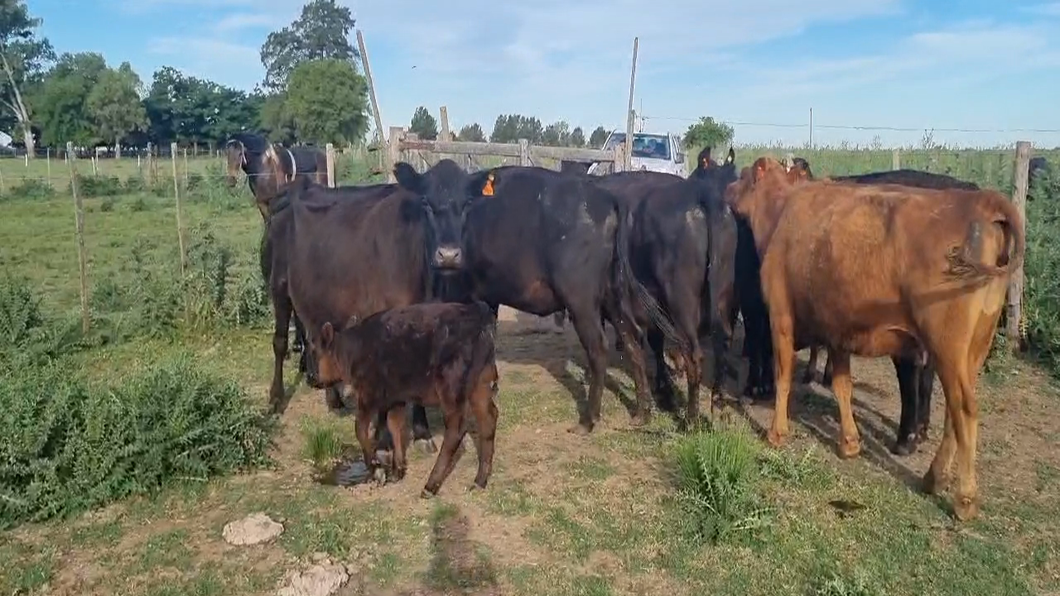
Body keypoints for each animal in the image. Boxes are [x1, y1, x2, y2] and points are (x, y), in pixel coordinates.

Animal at [307, 299, 500, 494]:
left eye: (315, 352)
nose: (312, 378)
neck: (354, 350)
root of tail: (478, 316)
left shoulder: (369, 396)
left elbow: (360, 429)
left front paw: (376, 468)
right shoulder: (395, 398)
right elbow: (395, 426)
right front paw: (397, 470)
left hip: (451, 390)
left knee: (456, 429)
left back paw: (430, 485)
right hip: (480, 387)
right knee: (488, 419)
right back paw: (480, 480)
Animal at [725, 155, 1021, 517]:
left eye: (742, 175)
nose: (726, 189)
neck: (783, 212)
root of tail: (980, 200)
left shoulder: (781, 318)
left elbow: (783, 376)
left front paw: (777, 433)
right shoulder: (836, 330)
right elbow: (842, 386)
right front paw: (850, 443)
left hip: (948, 347)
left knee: (963, 409)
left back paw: (963, 498)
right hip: (975, 348)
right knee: (955, 413)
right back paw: (933, 477)